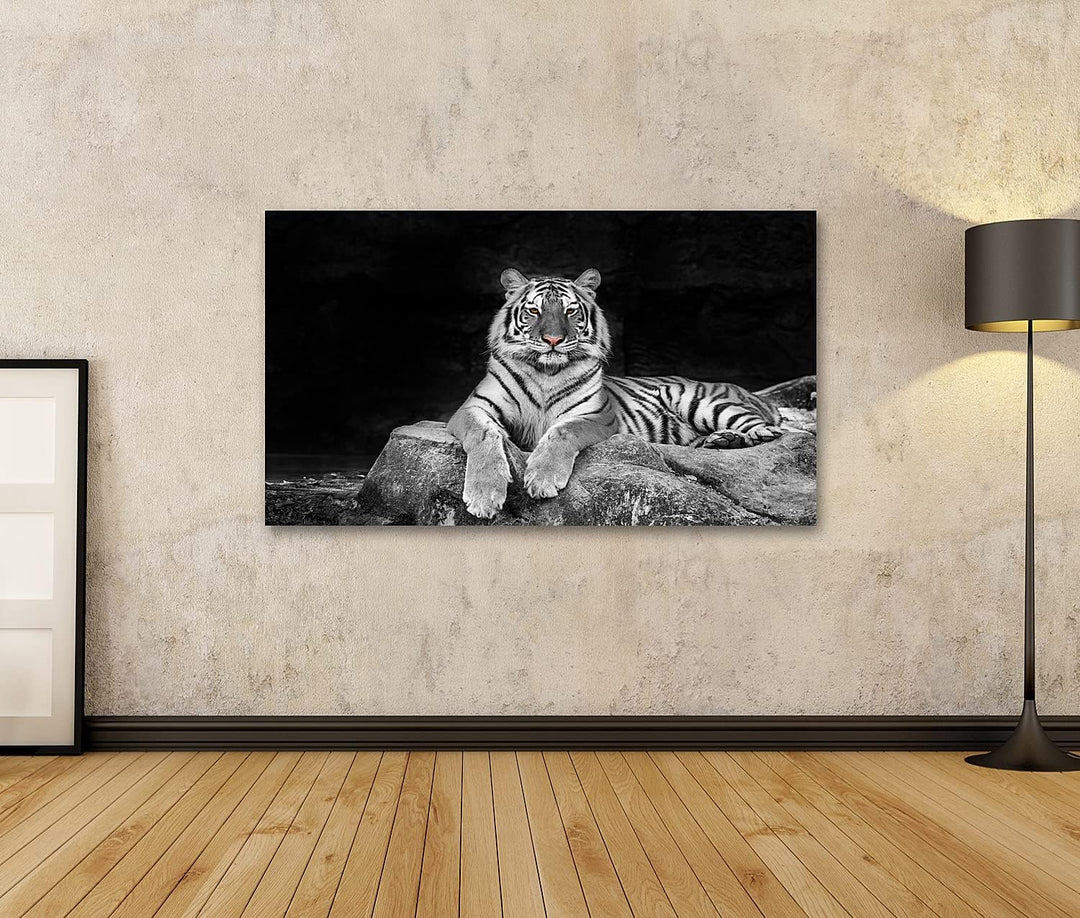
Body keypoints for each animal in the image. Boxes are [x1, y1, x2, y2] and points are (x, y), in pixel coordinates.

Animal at [447, 267, 783, 518]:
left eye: (570, 311)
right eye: (533, 311)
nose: (553, 340)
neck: (546, 372)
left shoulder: (596, 414)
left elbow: (563, 431)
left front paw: (542, 478)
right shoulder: (473, 408)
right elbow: (483, 435)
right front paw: (483, 495)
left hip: (697, 400)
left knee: (763, 427)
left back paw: (750, 434)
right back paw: (721, 441)